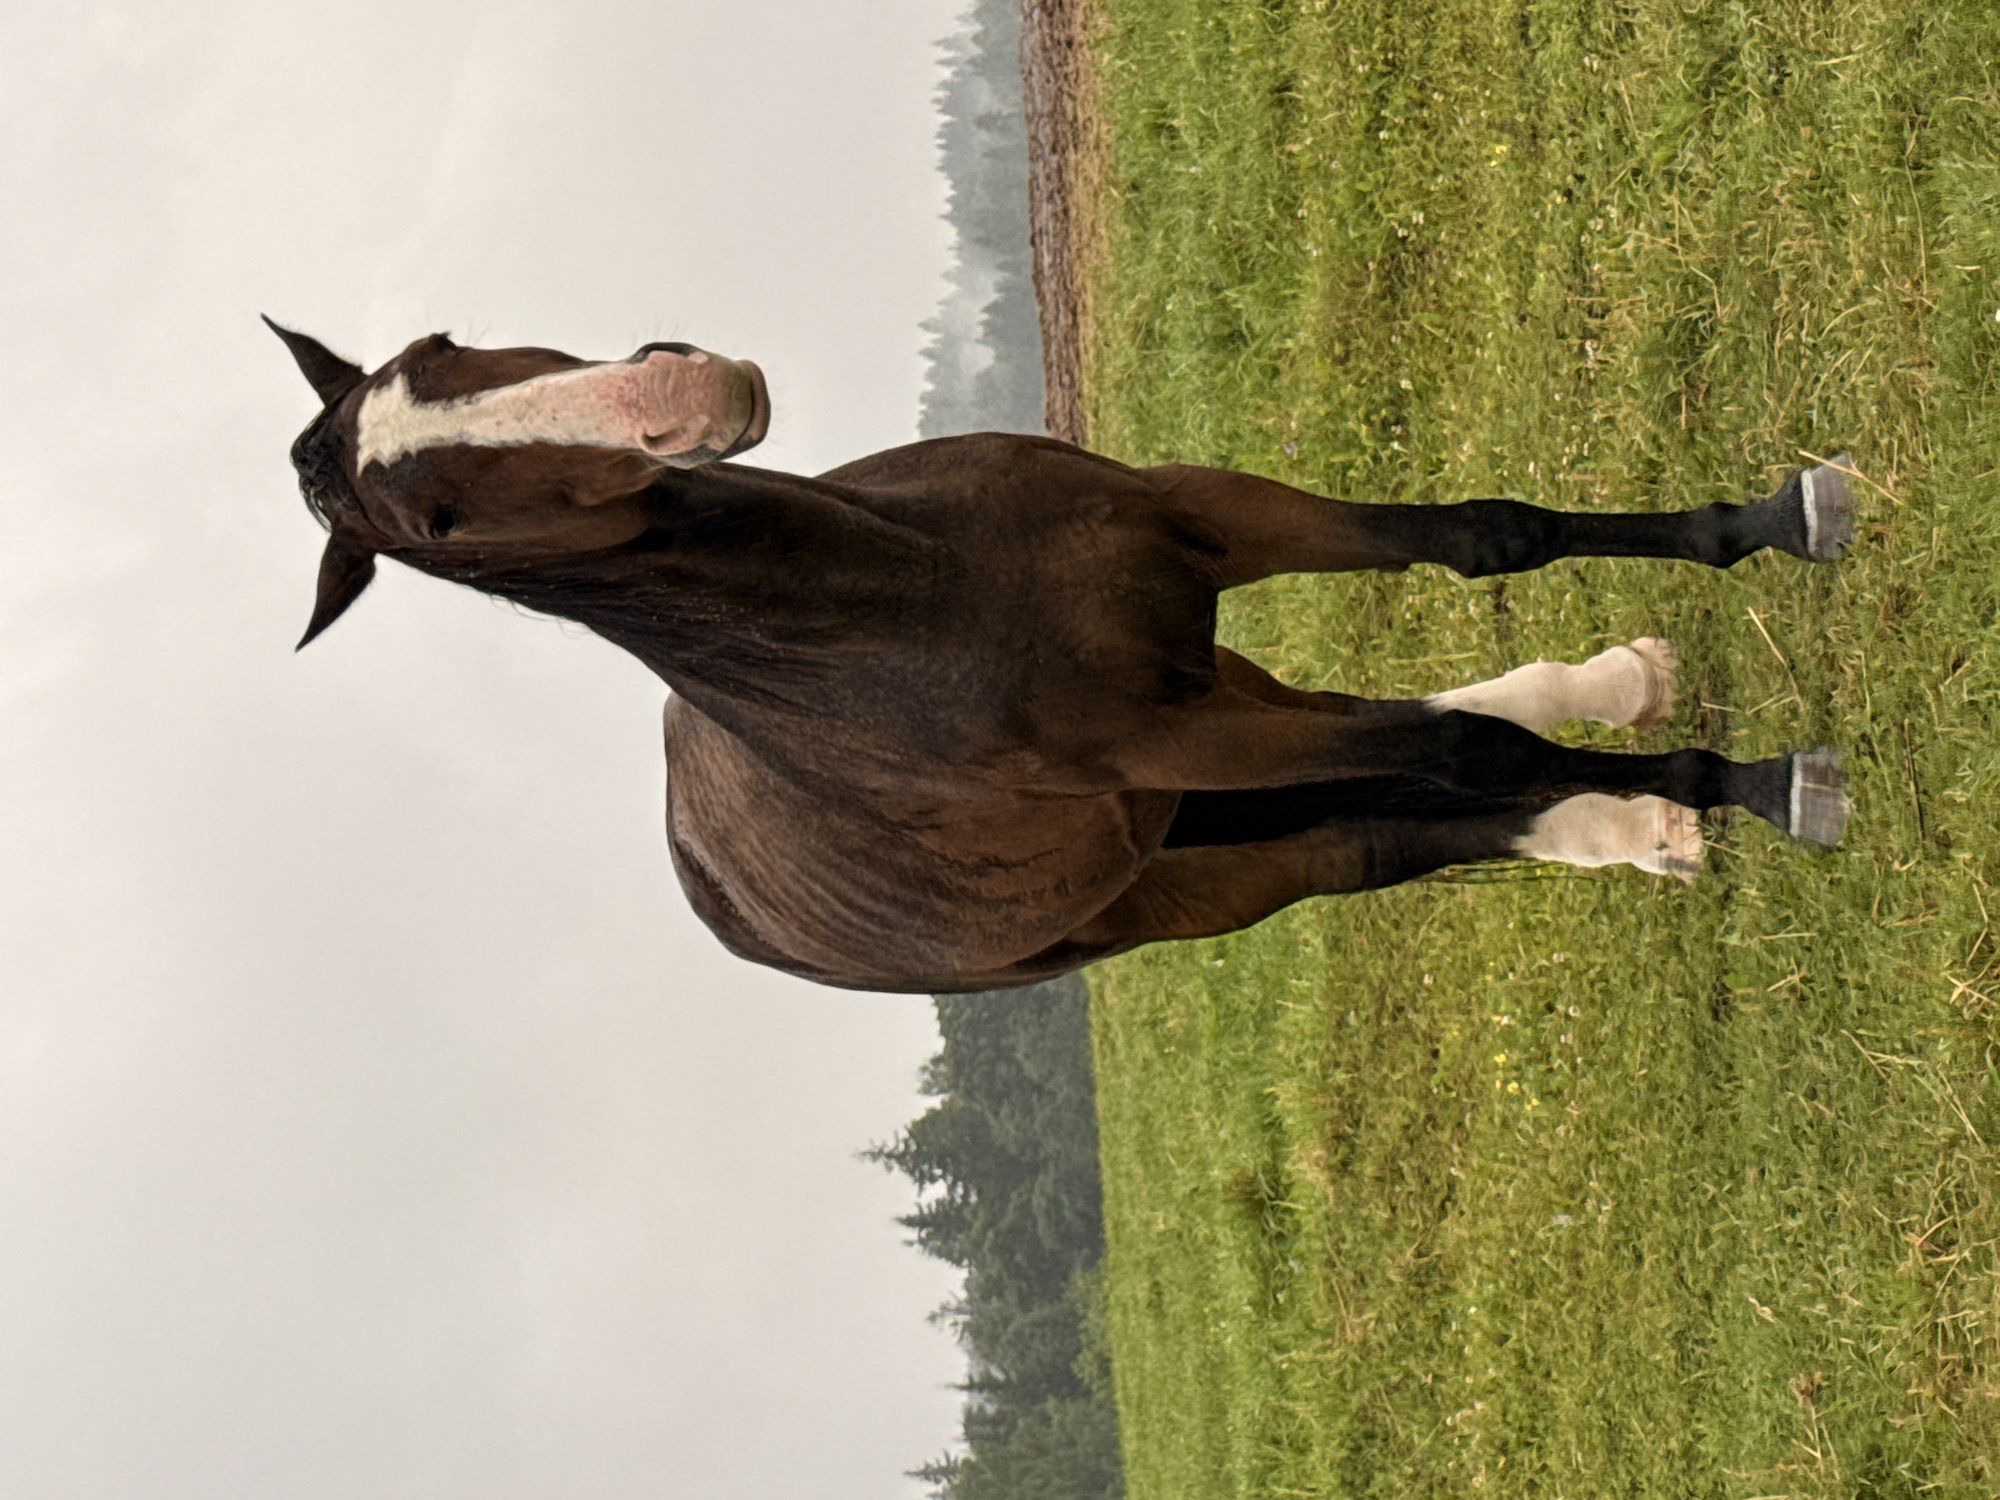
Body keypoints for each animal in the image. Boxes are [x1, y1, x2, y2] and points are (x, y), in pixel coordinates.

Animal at [268, 319, 1852, 993]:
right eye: (433, 520)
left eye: (446, 346)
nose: (685, 393)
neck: (924, 597)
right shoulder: (1159, 736)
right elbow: (1466, 753)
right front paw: (1762, 782)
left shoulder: (1200, 523)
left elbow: (1482, 540)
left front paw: (1775, 516)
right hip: (1187, 860)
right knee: (1391, 823)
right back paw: (1634, 820)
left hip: (1202, 753)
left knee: (1407, 755)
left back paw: (1622, 718)